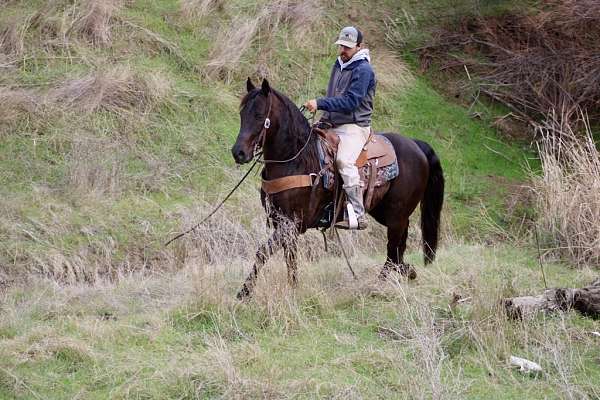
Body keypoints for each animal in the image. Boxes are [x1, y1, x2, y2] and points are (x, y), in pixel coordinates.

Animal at [232, 78, 442, 298]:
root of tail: (416, 145)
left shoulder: (290, 223)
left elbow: (262, 253)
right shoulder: (282, 223)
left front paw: (244, 293)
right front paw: (292, 289)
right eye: (242, 114)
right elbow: (290, 258)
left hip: (395, 217)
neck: (296, 159)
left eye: (258, 115)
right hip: (387, 213)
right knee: (399, 248)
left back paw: (380, 284)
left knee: (392, 251)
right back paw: (406, 271)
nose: (238, 153)